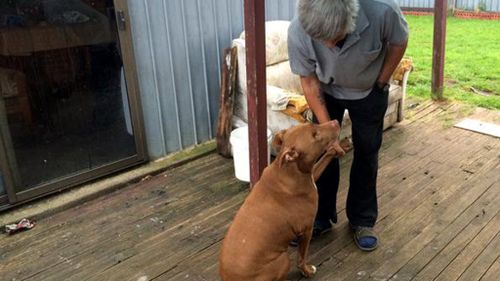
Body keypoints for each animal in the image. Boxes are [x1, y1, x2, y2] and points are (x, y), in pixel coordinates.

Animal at [219, 120, 348, 280]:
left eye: (312, 123)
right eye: (314, 135)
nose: (335, 122)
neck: (289, 170)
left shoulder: (311, 174)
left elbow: (323, 160)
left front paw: (341, 146)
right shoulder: (306, 229)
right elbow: (301, 258)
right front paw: (307, 271)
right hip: (284, 259)